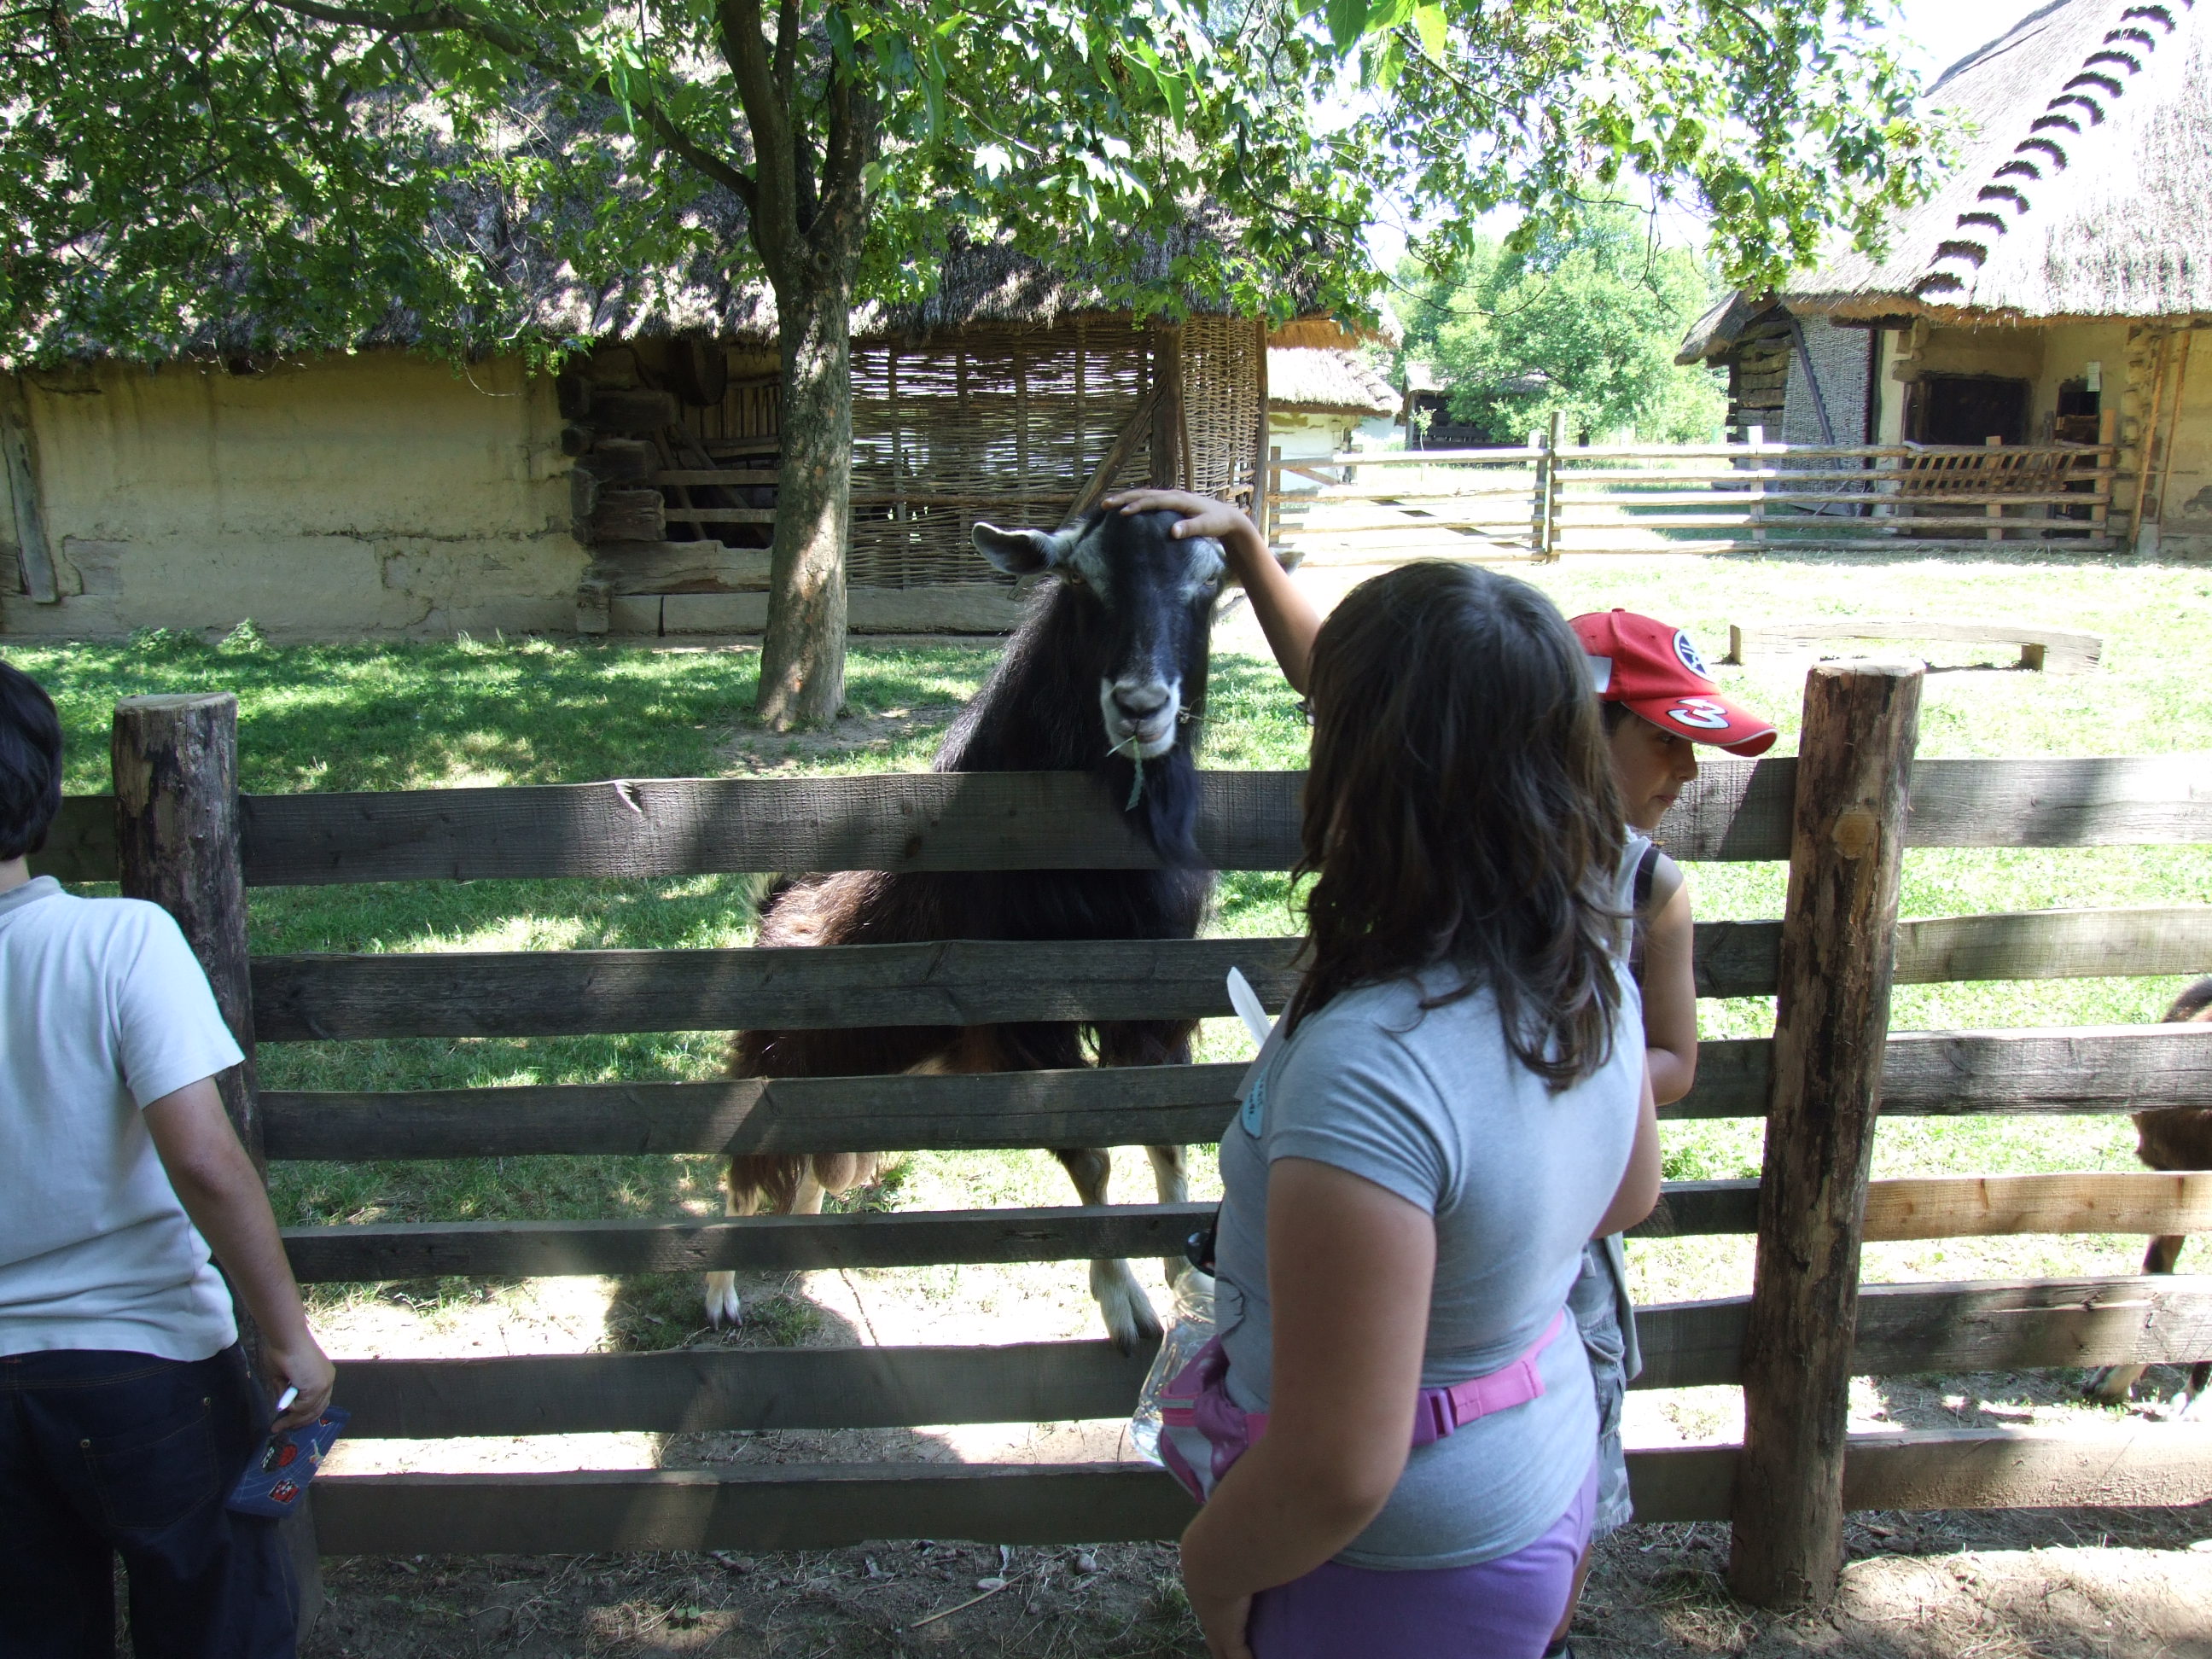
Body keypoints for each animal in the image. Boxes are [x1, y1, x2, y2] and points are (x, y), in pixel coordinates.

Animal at [705, 507, 1227, 1349]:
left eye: (1210, 580)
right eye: (1081, 579)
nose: (1140, 706)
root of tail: (775, 904)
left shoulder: (1152, 998)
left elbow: (1163, 1134)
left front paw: (1187, 1279)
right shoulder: (1018, 1020)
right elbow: (1091, 1156)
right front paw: (1122, 1301)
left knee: (816, 1164)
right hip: (779, 1062)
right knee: (747, 1175)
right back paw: (720, 1293)